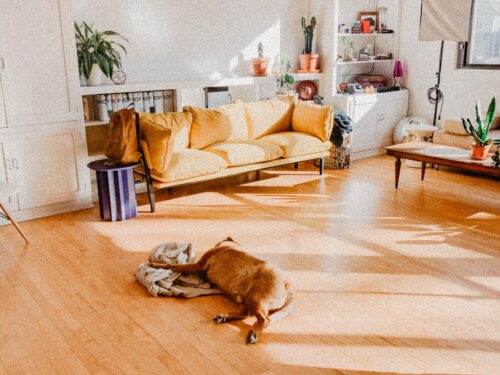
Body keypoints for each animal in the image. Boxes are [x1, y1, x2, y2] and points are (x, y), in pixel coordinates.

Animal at [150, 238, 294, 344]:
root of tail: (288, 284)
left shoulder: (198, 265)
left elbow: (174, 265)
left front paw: (156, 265)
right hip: (248, 299)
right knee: (246, 314)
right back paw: (224, 317)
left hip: (255, 297)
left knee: (265, 319)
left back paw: (253, 333)